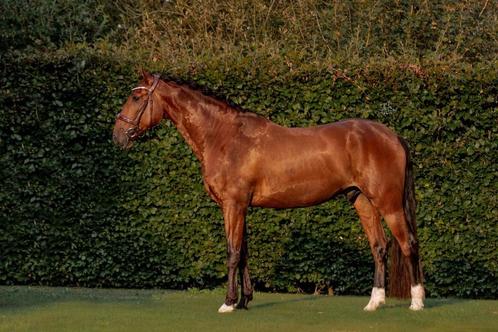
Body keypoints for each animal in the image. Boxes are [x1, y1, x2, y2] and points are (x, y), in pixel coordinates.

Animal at [112, 70, 424, 312]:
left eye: (136, 98)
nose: (117, 136)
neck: (224, 136)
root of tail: (393, 136)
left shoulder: (233, 205)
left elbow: (232, 251)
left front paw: (228, 303)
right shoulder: (240, 207)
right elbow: (243, 252)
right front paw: (244, 300)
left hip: (388, 203)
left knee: (408, 243)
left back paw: (416, 302)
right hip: (362, 201)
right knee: (379, 247)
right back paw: (374, 303)